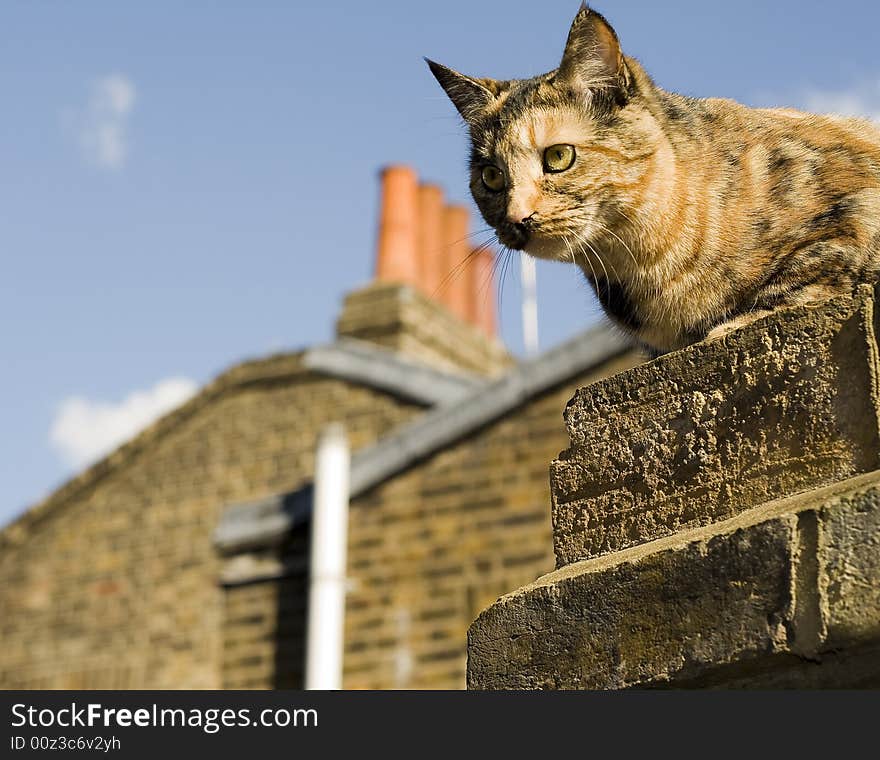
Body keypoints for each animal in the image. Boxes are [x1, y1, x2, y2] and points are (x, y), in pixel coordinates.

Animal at [424, 3, 880, 354]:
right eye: (491, 176)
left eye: (558, 156)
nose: (517, 218)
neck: (649, 267)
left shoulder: (854, 213)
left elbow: (807, 272)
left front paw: (730, 325)